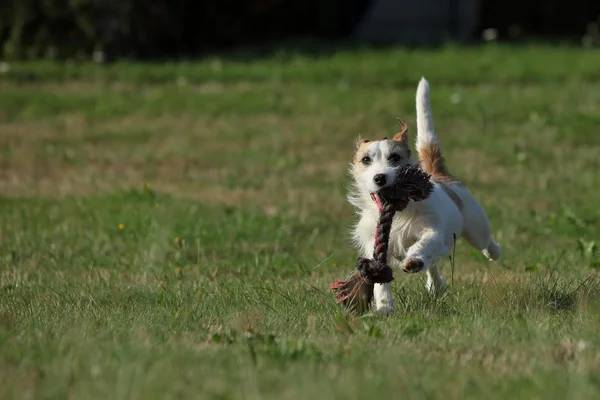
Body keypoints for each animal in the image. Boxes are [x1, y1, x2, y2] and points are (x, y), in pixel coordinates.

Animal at [346, 78, 502, 314]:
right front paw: (384, 306)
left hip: (476, 228)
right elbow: (380, 277)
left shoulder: (432, 230)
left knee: (484, 241)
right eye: (366, 160)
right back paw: (436, 285)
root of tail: (439, 174)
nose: (380, 177)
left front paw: (414, 259)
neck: (400, 210)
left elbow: (424, 243)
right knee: (434, 265)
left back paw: (493, 252)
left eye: (394, 157)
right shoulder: (378, 245)